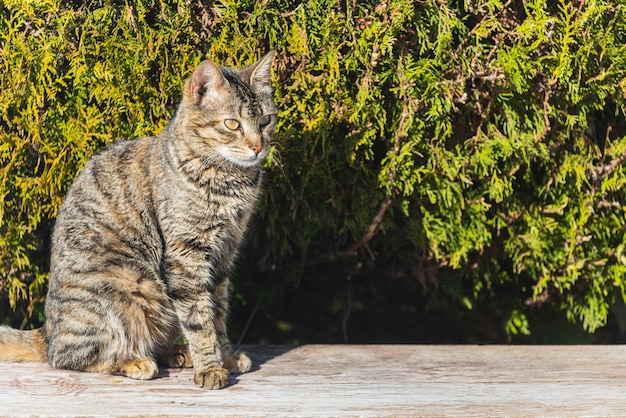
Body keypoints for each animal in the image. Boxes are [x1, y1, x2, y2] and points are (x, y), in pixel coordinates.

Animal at [0, 50, 276, 390]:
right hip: (125, 286)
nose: (258, 146)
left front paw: (225, 356)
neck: (228, 181)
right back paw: (135, 361)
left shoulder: (225, 253)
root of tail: (46, 332)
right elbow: (199, 318)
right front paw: (211, 367)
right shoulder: (187, 255)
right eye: (232, 124)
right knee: (72, 357)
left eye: (265, 121)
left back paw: (176, 353)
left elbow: (218, 313)